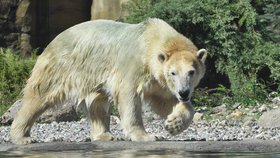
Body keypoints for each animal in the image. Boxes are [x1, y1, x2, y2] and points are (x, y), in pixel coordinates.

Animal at [10, 18, 208, 144]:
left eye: (191, 72)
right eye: (173, 72)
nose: (184, 93)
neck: (149, 40)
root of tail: (53, 41)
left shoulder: (157, 80)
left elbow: (164, 101)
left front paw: (173, 124)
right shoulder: (133, 66)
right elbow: (129, 96)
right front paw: (146, 136)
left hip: (91, 75)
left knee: (97, 102)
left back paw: (106, 135)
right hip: (62, 66)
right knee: (40, 95)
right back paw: (22, 137)